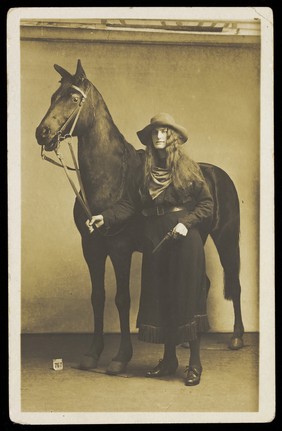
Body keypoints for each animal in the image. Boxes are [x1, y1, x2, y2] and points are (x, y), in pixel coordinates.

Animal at [35, 60, 245, 374]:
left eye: (72, 98)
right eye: (52, 96)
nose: (43, 133)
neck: (109, 179)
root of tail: (218, 174)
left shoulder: (120, 249)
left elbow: (122, 299)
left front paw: (121, 357)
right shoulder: (92, 247)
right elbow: (98, 297)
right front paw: (92, 354)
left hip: (226, 240)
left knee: (235, 282)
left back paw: (236, 337)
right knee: (204, 284)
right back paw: (188, 340)